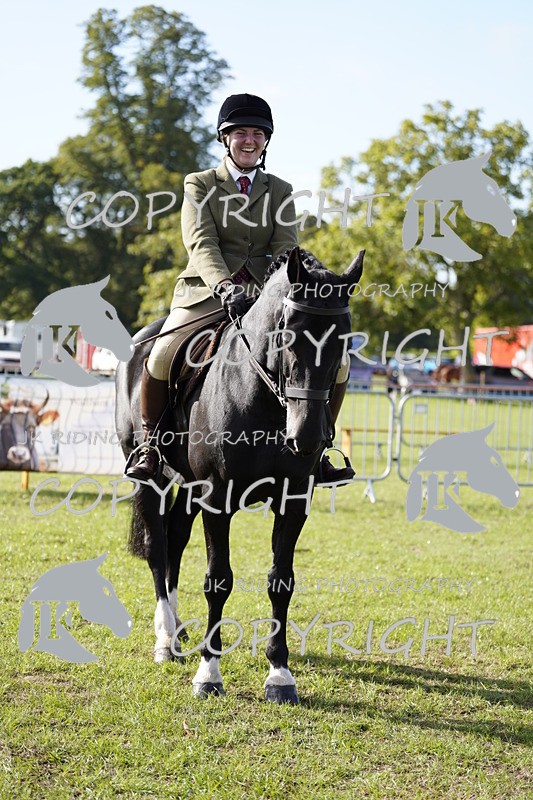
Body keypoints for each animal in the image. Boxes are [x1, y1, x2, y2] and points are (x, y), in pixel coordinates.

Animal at [115, 246, 364, 703]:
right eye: (288, 334)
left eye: (344, 340)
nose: (306, 436)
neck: (263, 398)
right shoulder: (218, 499)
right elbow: (219, 580)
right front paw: (208, 674)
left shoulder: (293, 500)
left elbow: (281, 581)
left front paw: (280, 675)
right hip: (151, 478)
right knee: (158, 547)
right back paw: (165, 640)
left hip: (188, 487)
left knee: (175, 539)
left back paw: (180, 632)